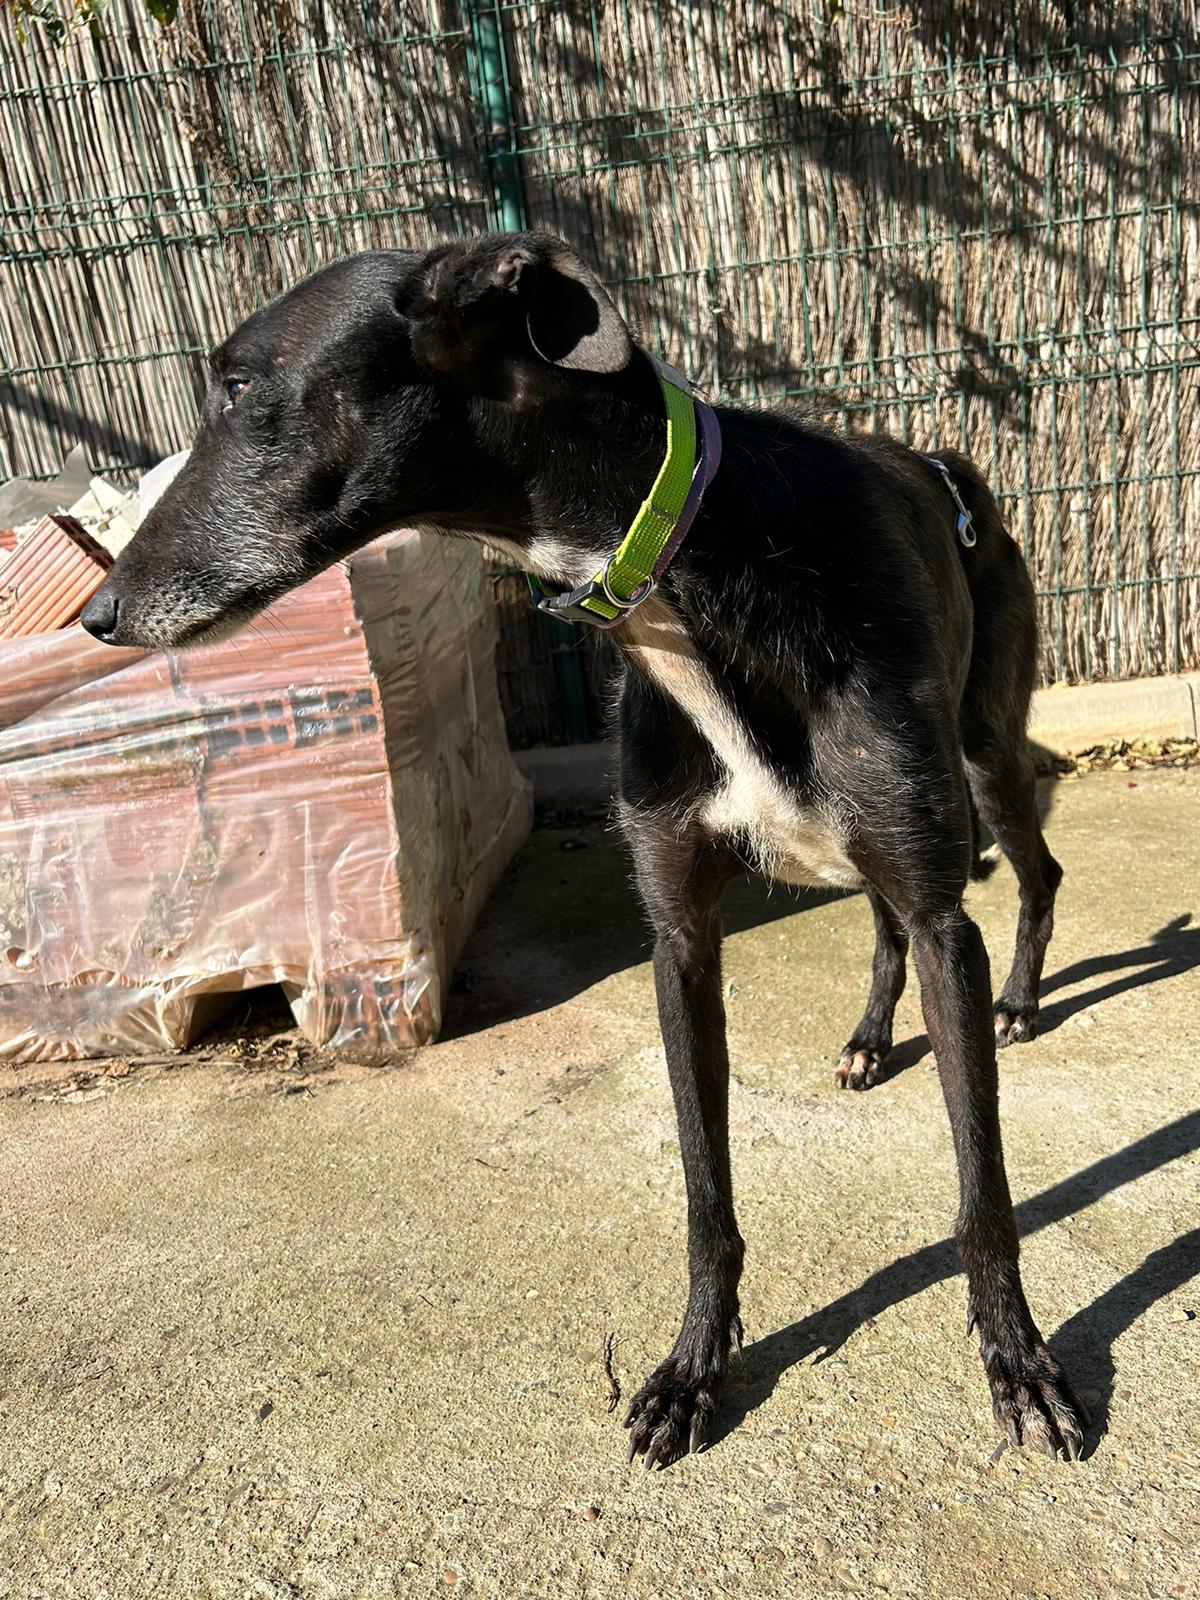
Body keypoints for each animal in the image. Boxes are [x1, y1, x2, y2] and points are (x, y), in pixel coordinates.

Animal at [82, 232, 1087, 1467]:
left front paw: (1020, 1364)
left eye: (234, 387)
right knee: (882, 916)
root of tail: (952, 472)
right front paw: (694, 1370)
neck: (691, 572)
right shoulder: (680, 936)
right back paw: (866, 1037)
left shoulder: (944, 918)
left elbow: (983, 1192)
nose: (98, 615)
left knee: (1030, 869)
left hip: (982, 759)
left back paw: (1022, 1000)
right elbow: (706, 1188)